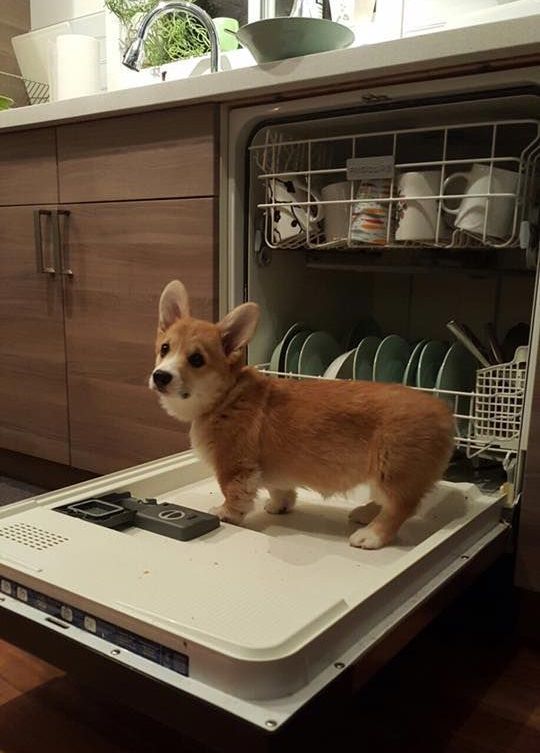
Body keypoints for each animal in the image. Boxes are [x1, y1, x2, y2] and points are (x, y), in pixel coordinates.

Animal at [151, 280, 456, 548]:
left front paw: (225, 514)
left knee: (400, 507)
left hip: (392, 470)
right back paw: (366, 514)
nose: (160, 376)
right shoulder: (271, 469)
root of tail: (444, 413)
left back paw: (372, 534)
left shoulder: (234, 466)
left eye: (197, 360)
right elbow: (279, 488)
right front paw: (279, 505)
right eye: (165, 349)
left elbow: (234, 494)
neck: (225, 397)